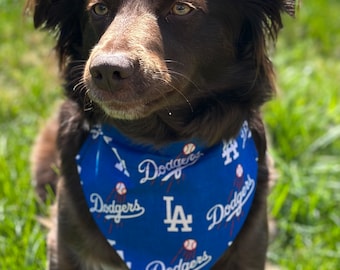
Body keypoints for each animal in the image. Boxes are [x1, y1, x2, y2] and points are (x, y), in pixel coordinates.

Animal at [27, 1, 294, 268]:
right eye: (100, 9)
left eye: (181, 9)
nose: (106, 71)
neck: (161, 146)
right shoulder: (67, 242)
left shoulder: (251, 246)